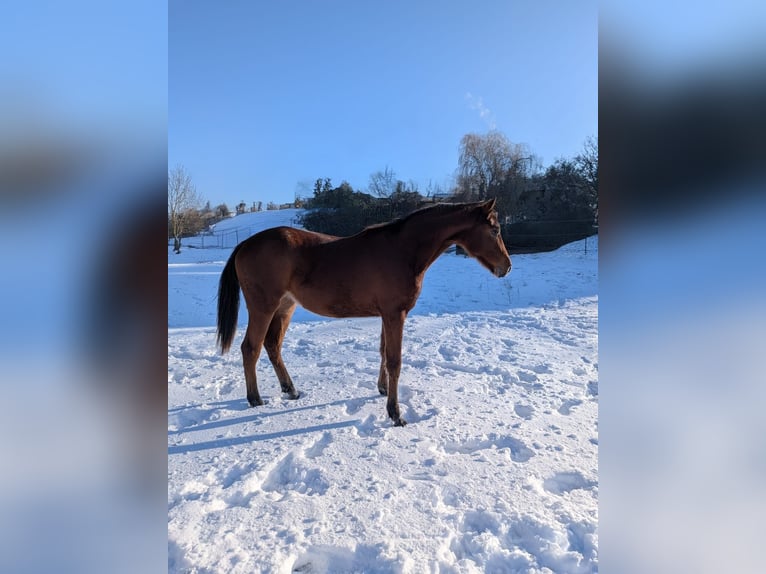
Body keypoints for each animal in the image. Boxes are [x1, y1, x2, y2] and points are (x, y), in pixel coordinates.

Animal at [216, 199, 511, 426]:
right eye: (495, 229)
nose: (506, 267)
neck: (403, 250)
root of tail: (245, 244)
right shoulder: (395, 314)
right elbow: (395, 361)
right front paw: (395, 413)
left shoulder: (387, 314)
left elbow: (383, 352)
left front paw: (382, 390)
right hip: (263, 307)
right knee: (251, 348)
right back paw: (255, 399)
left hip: (285, 307)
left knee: (272, 346)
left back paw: (291, 390)